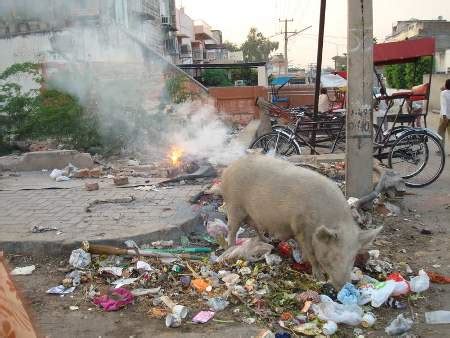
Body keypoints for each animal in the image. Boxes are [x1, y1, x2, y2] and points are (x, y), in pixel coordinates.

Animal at [220, 154, 382, 290]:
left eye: (353, 257)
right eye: (332, 256)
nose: (343, 286)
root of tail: (229, 168)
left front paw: (301, 260)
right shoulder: (302, 228)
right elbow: (311, 254)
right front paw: (319, 277)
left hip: (252, 215)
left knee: (256, 227)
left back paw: (267, 241)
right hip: (234, 206)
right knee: (231, 229)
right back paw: (231, 248)